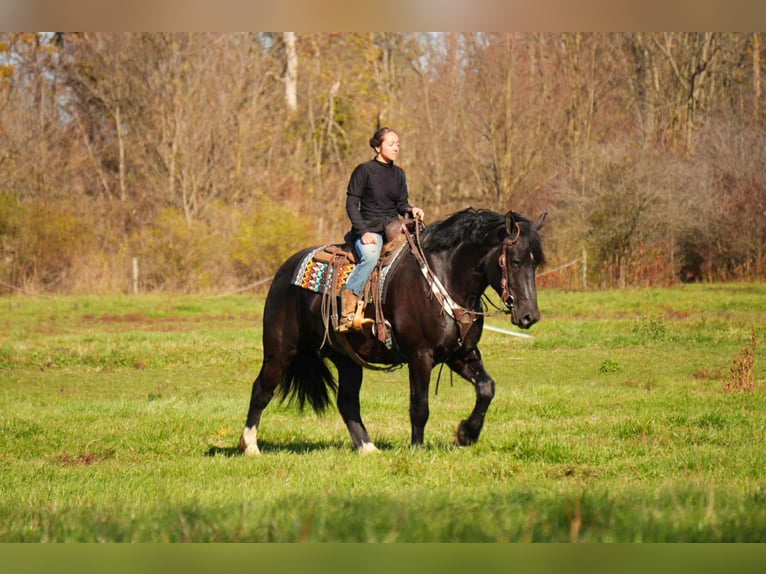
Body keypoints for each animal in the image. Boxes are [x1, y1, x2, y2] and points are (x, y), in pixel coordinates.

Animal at [239, 207, 546, 454]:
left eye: (534, 262)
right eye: (515, 261)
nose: (529, 316)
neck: (444, 277)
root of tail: (283, 272)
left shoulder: (462, 354)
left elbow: (486, 388)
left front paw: (466, 434)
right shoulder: (420, 355)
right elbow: (419, 406)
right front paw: (417, 448)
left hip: (347, 360)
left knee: (347, 402)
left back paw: (368, 448)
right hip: (280, 351)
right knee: (261, 390)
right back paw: (250, 446)